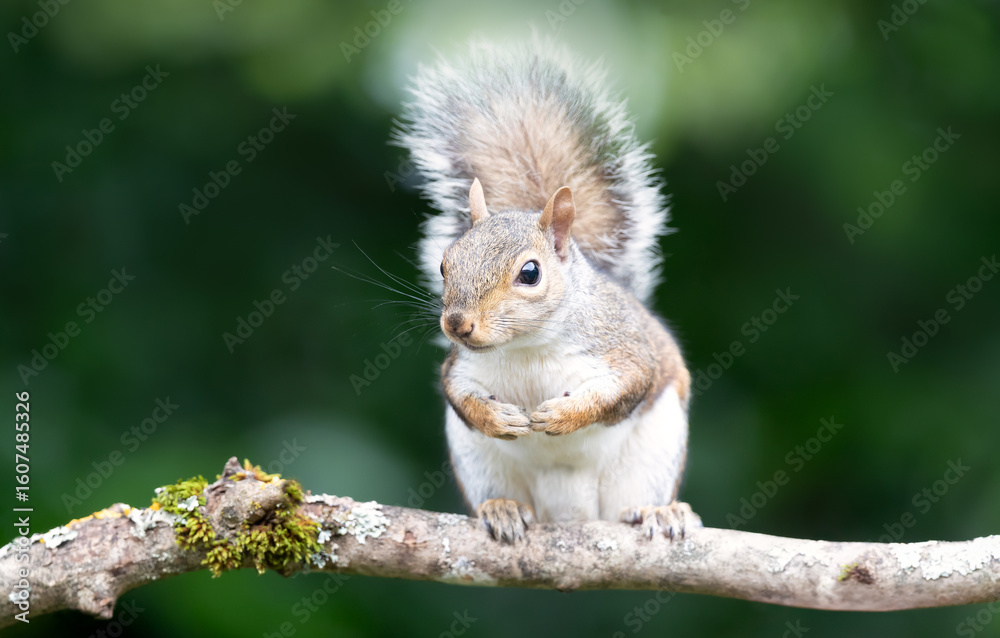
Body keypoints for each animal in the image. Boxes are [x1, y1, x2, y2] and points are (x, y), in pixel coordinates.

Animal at [394, 39, 700, 543]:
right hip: (477, 460)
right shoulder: (462, 367)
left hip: (654, 450)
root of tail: (569, 513)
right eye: (444, 263)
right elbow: (457, 394)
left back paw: (659, 512)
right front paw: (497, 418)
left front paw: (562, 415)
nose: (457, 325)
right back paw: (501, 509)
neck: (526, 347)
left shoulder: (623, 346)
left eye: (530, 273)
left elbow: (627, 385)